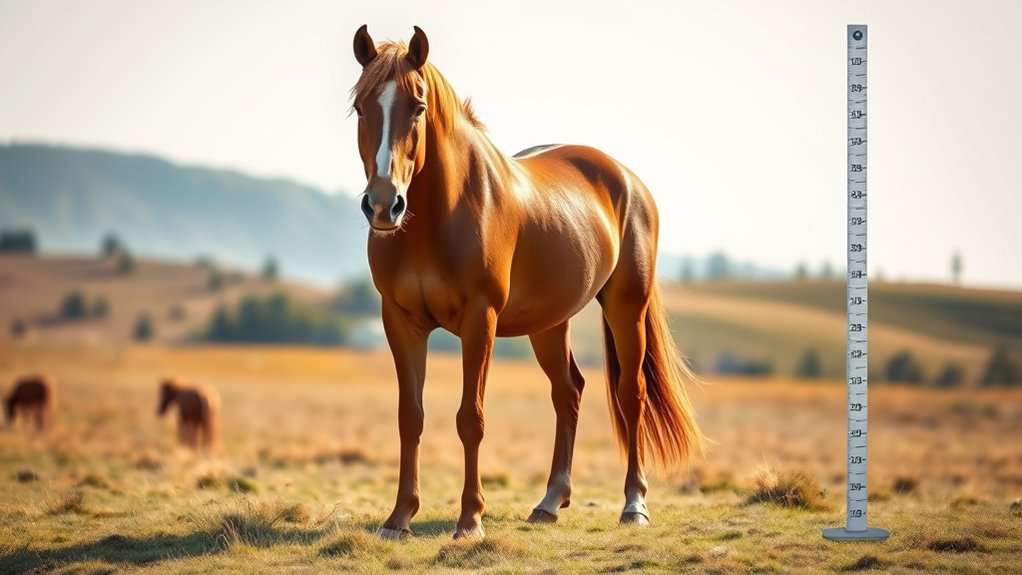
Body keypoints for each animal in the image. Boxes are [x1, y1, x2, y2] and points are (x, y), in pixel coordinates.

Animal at [350, 25, 705, 540]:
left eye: (417, 107)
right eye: (361, 107)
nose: (383, 205)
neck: (436, 216)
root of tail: (629, 180)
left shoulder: (480, 319)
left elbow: (471, 418)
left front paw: (470, 520)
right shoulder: (401, 321)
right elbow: (409, 417)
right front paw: (398, 518)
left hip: (626, 308)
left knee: (631, 394)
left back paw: (633, 505)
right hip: (549, 323)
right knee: (568, 392)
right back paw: (551, 501)